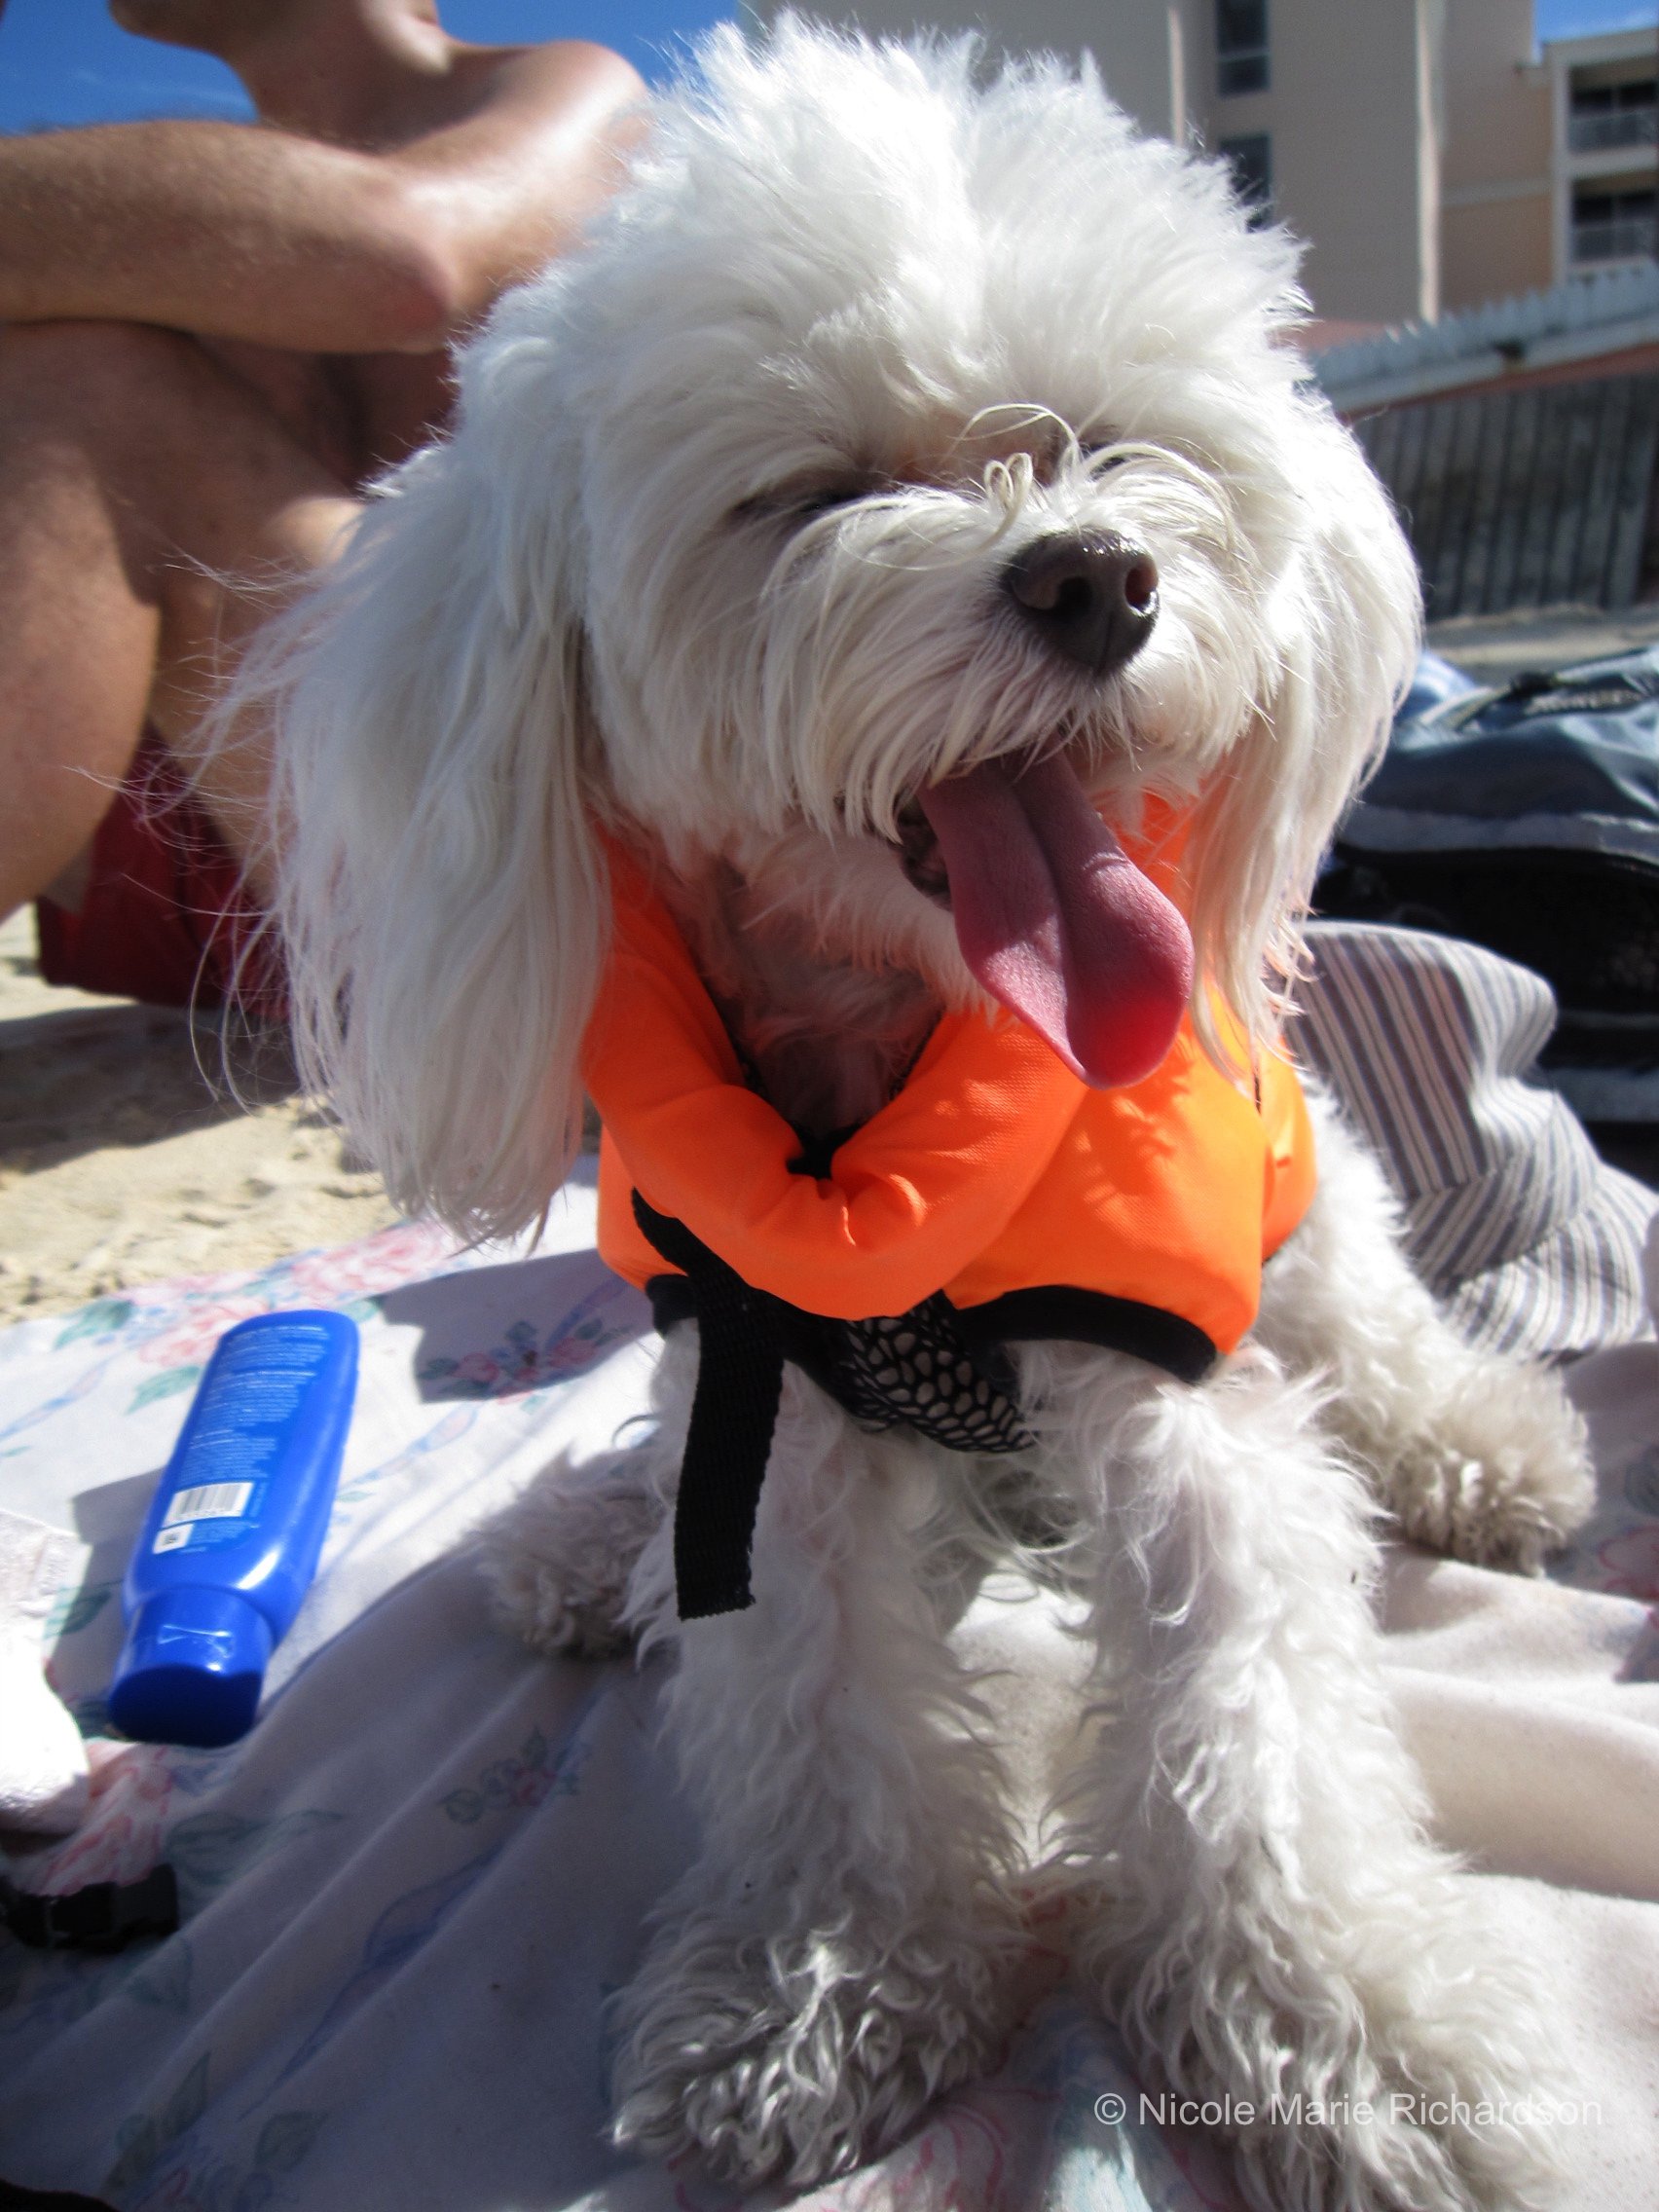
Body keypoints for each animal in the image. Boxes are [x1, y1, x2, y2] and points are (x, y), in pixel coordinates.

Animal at [252, 21, 1594, 2209]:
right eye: (814, 493)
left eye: (1110, 444)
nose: (1097, 575)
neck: (902, 1059)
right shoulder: (763, 1372)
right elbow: (809, 1684)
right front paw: (825, 1982)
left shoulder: (1168, 1372)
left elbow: (1244, 1695)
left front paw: (1358, 2033)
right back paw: (586, 1541)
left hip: (1318, 1218)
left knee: (1377, 1322)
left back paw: (1478, 1438)